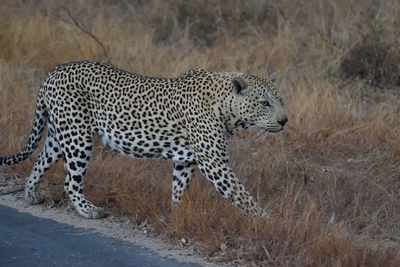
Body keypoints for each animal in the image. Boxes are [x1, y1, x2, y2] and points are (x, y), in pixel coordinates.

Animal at [0, 62, 288, 220]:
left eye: (281, 100)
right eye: (264, 103)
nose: (284, 120)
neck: (227, 110)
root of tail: (52, 72)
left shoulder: (186, 160)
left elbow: (179, 189)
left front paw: (177, 217)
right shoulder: (213, 162)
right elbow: (241, 195)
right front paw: (265, 221)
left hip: (60, 134)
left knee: (40, 160)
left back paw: (31, 194)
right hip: (77, 137)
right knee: (71, 182)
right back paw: (90, 210)